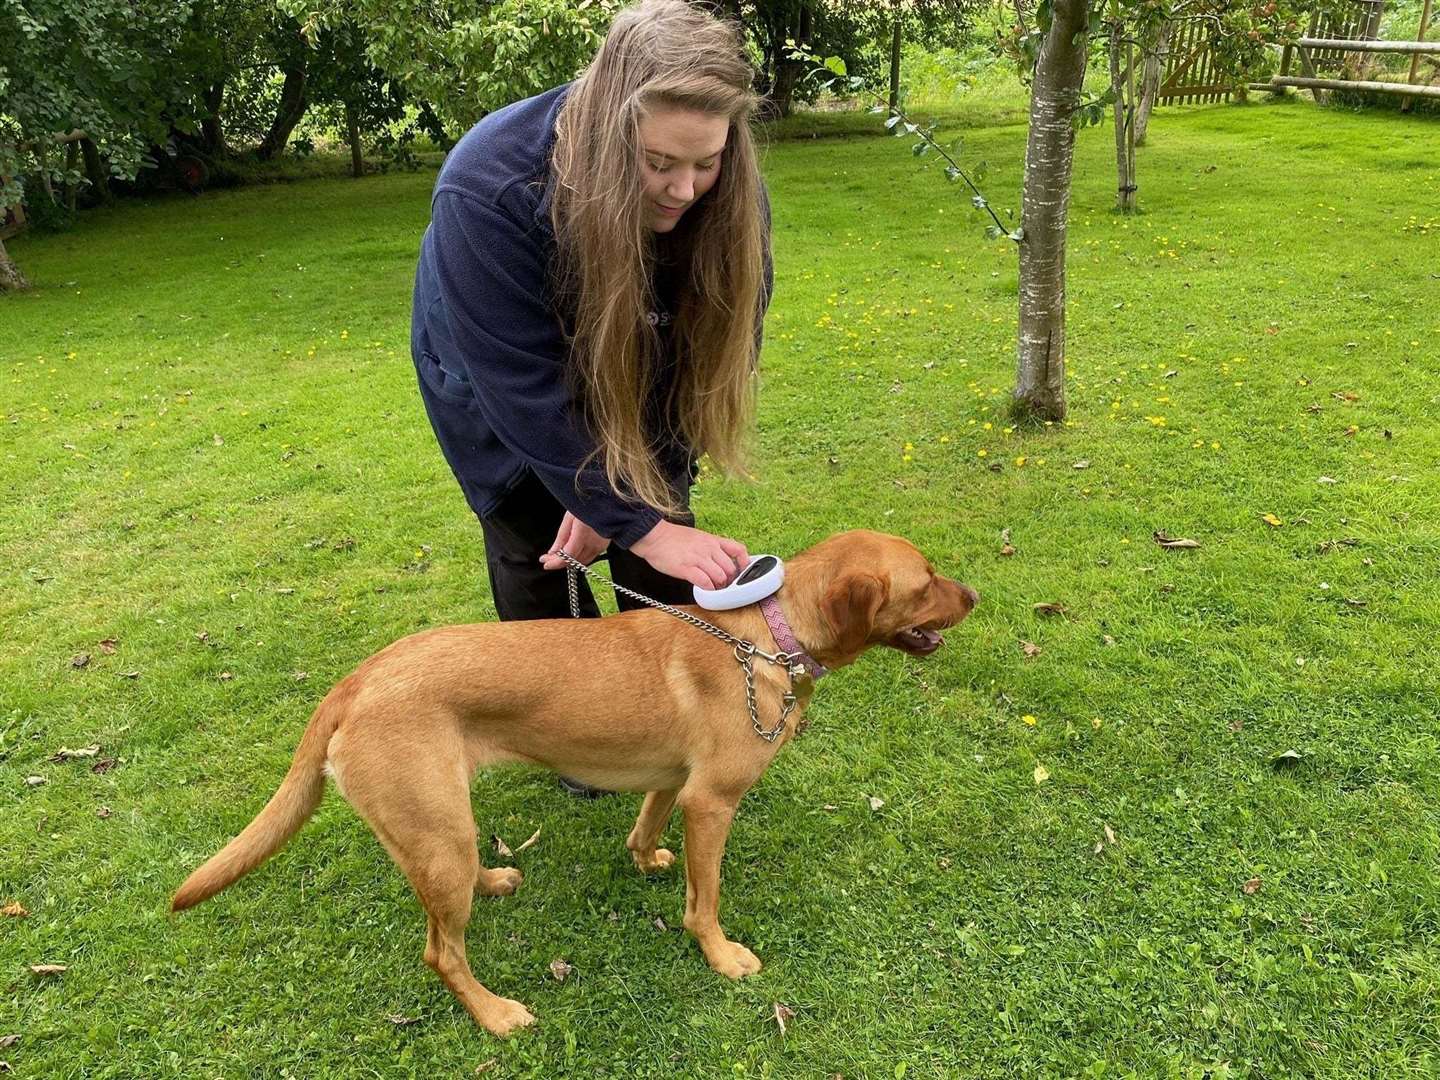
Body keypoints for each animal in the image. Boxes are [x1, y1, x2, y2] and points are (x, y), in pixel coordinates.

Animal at [168, 532, 979, 1042]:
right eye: (926, 580)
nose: (973, 594)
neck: (765, 636)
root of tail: (355, 681)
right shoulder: (712, 803)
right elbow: (705, 899)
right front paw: (719, 955)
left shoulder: (674, 785)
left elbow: (646, 826)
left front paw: (646, 860)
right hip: (437, 837)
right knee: (441, 954)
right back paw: (495, 1014)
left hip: (441, 836)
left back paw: (494, 879)